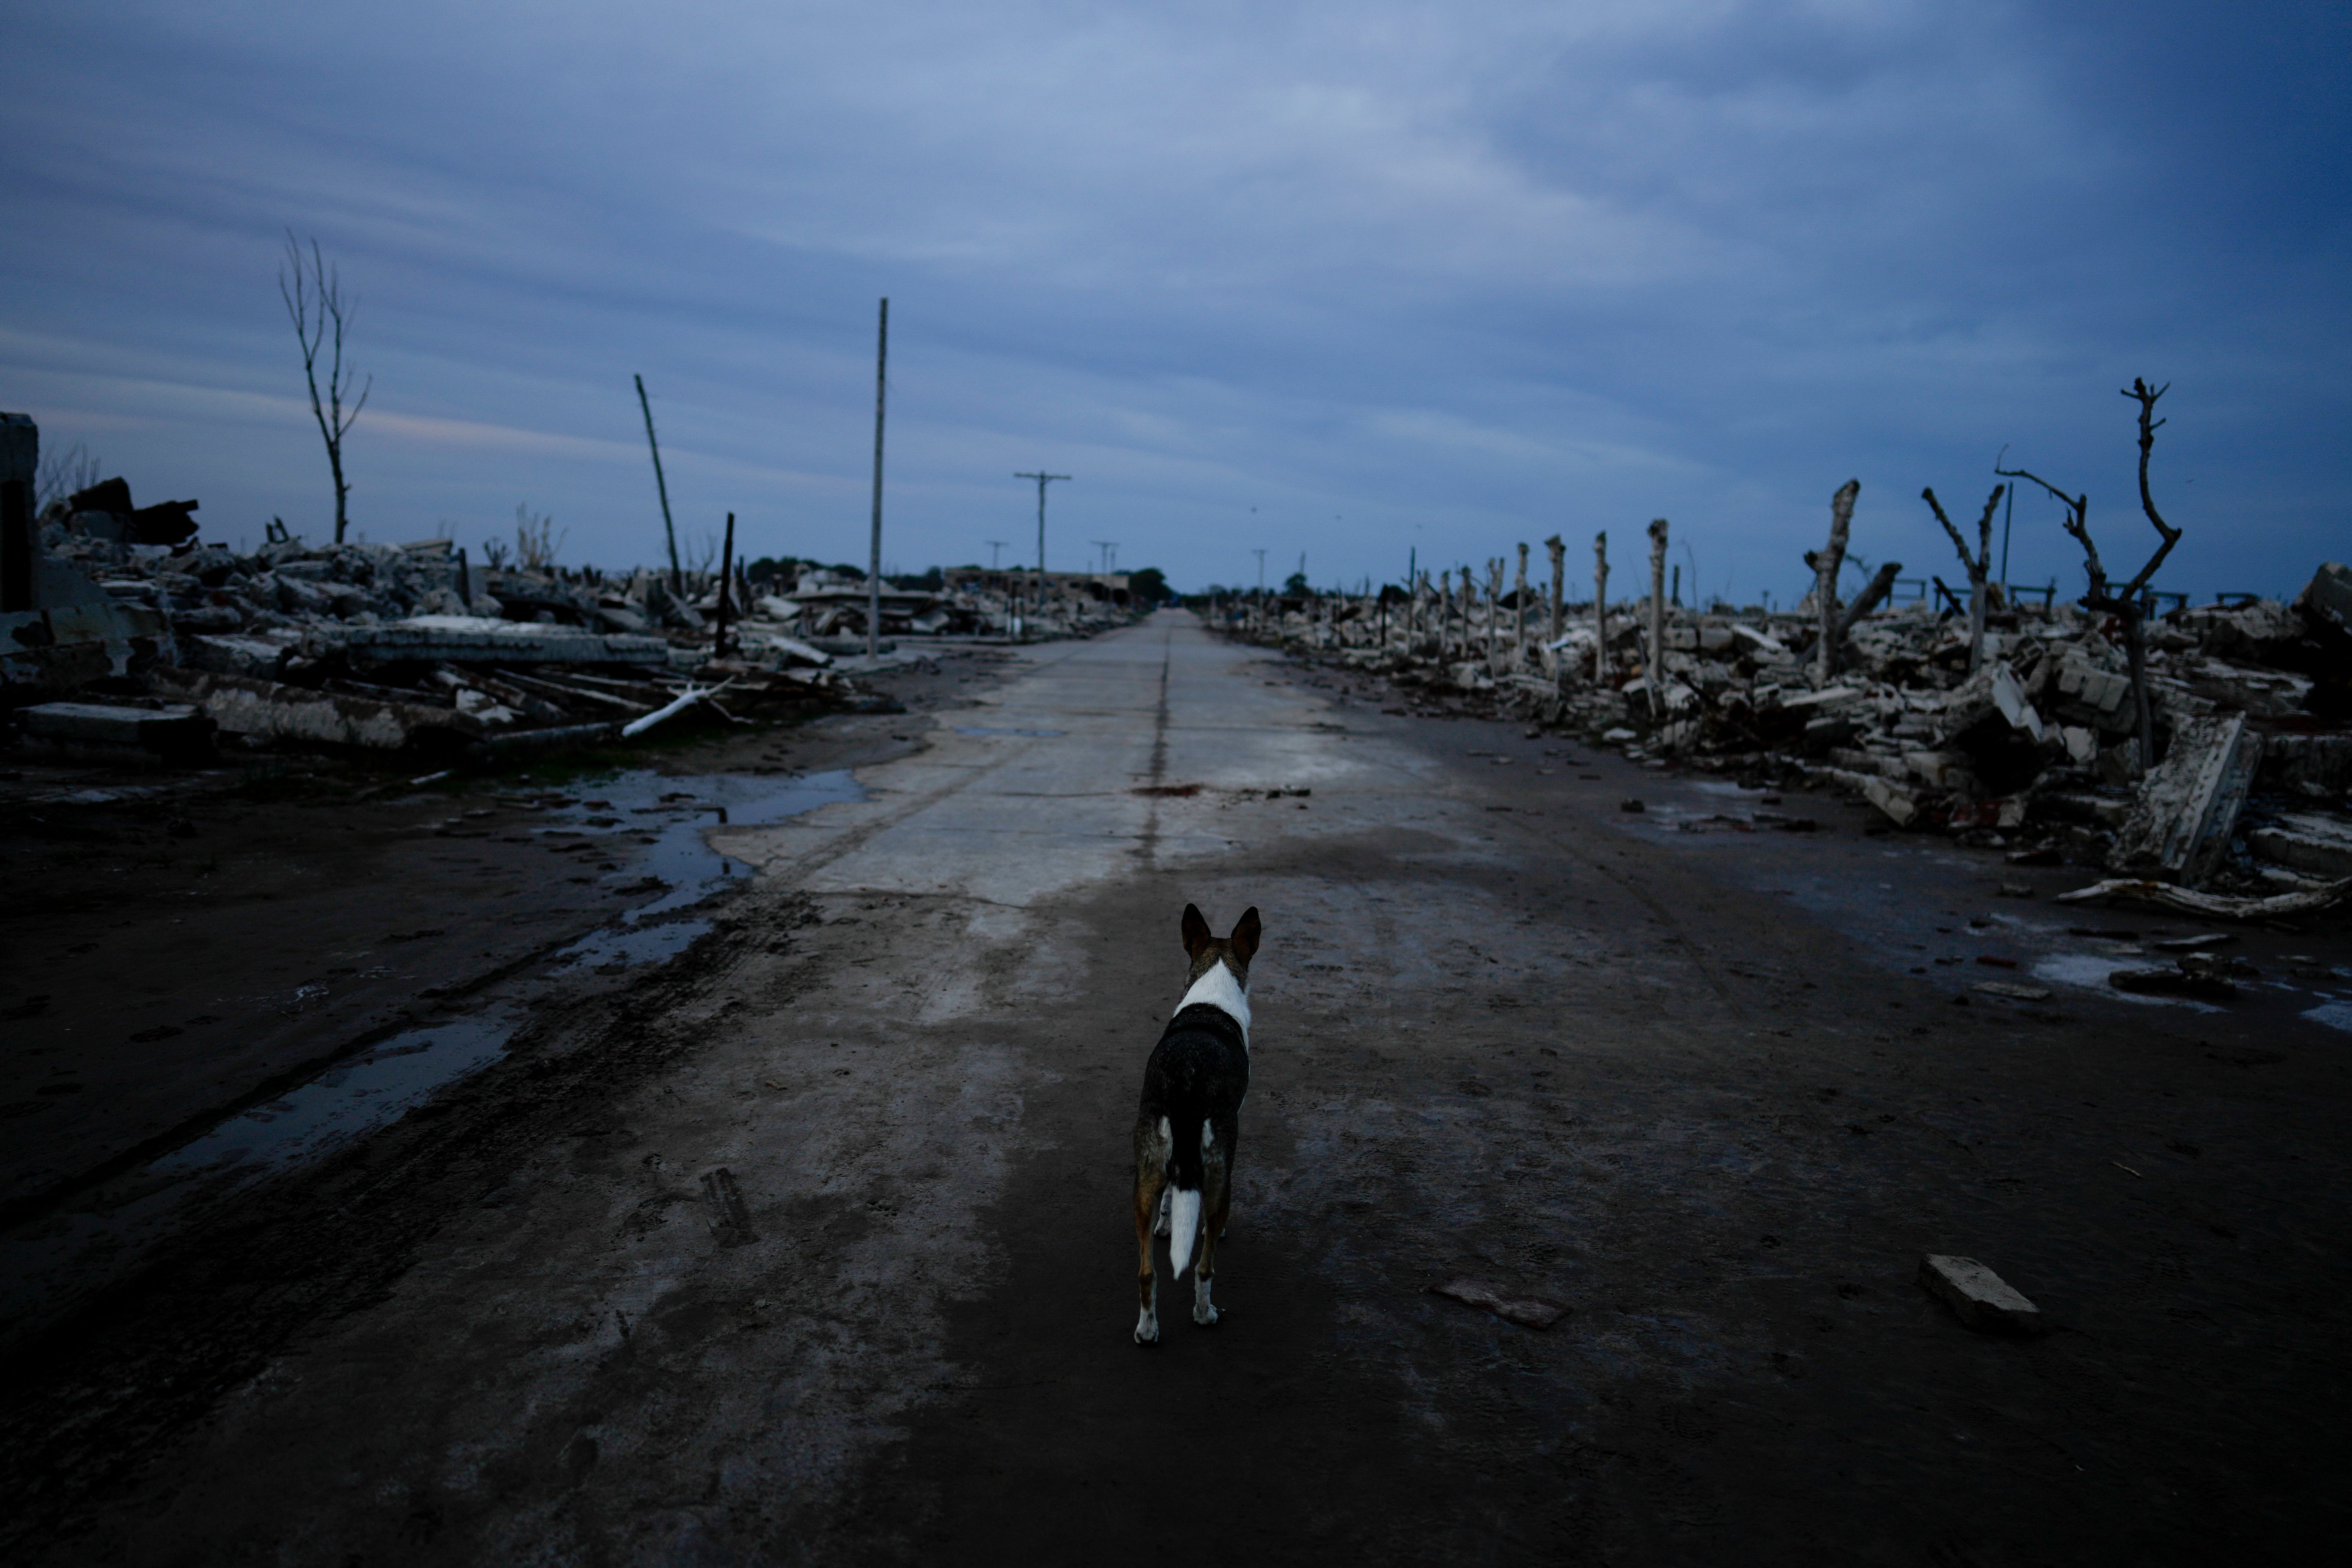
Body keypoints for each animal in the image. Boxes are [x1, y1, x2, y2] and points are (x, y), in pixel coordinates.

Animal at [1129, 903, 1261, 1344]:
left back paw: (1147, 1330)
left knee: (1147, 1273)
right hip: (1221, 1171)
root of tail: (1187, 1083)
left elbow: (1173, 1198)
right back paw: (1205, 1314)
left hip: (1145, 1173)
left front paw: (1167, 1226)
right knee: (1204, 1267)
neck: (1212, 992)